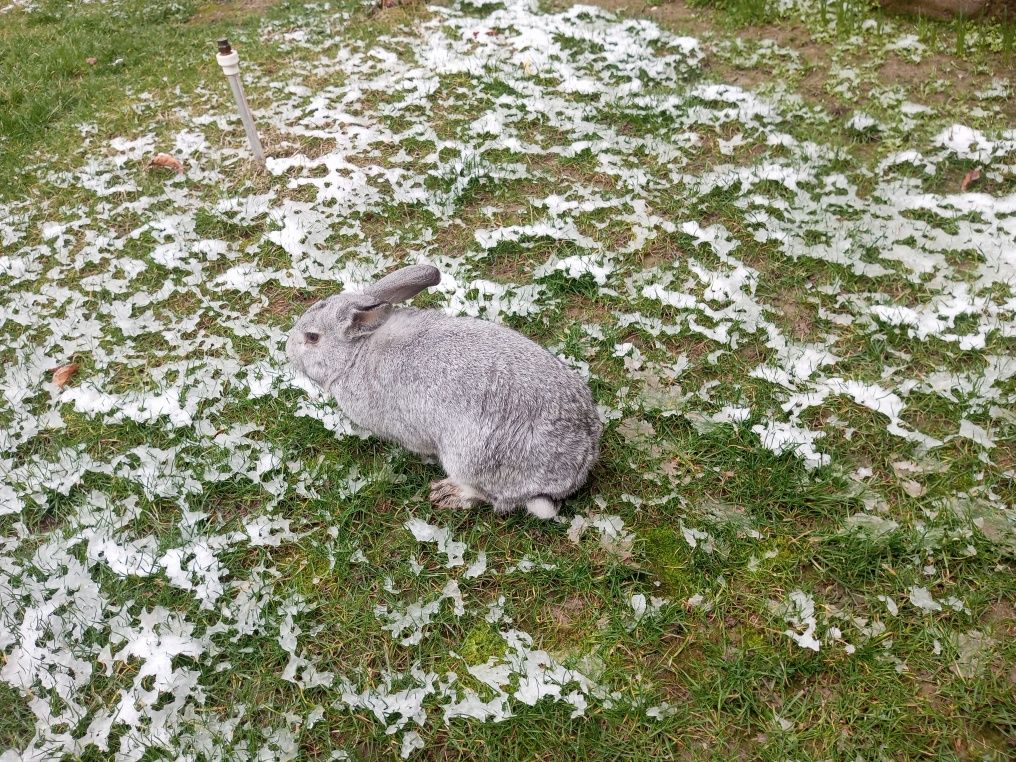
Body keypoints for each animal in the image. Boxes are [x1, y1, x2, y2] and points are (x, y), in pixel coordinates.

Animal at [286, 262, 597, 520]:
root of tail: (578, 466)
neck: (356, 353)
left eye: (312, 337)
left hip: (470, 457)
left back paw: (448, 493)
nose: (288, 350)